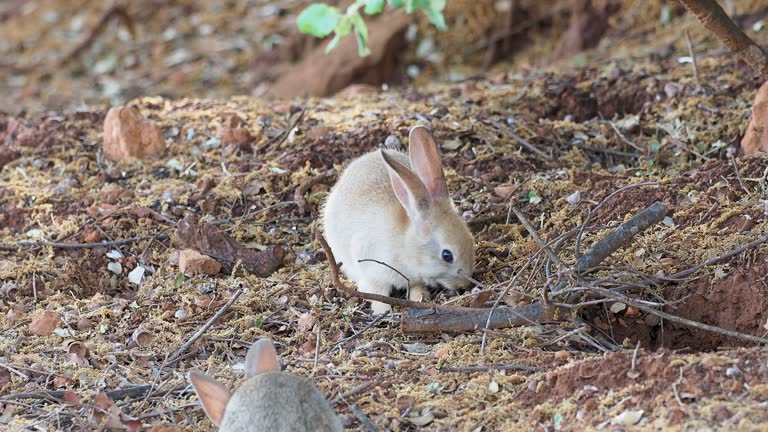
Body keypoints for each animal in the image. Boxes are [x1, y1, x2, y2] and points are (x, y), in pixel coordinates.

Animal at [322, 125, 475, 315]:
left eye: (470, 240)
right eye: (447, 256)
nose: (466, 284)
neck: (407, 245)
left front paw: (420, 297)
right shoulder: (372, 270)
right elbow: (377, 292)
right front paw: (383, 310)